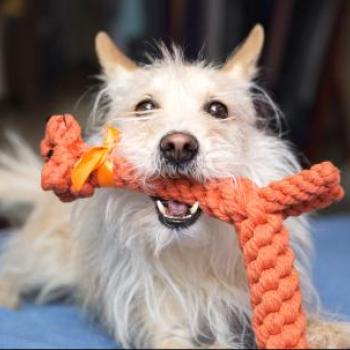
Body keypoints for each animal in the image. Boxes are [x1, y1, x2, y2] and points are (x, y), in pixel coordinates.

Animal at [0, 24, 350, 348]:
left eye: (218, 109)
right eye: (144, 107)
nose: (179, 146)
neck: (189, 250)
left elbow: (318, 324)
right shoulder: (162, 322)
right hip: (49, 258)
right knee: (15, 265)